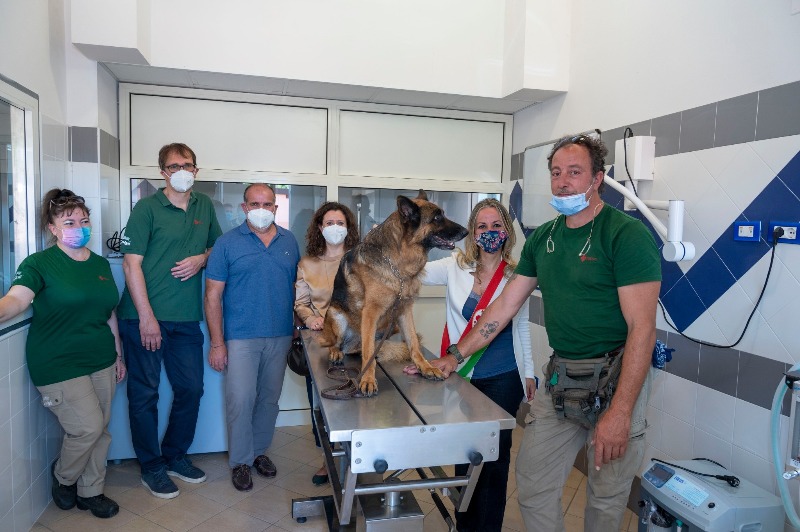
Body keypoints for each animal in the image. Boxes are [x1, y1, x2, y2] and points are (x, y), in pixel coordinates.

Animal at [319, 191, 468, 396]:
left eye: (443, 214)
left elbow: (413, 343)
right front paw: (367, 379)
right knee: (336, 343)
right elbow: (369, 352)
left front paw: (425, 367)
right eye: (437, 218)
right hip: (336, 315)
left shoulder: (404, 310)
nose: (466, 231)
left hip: (390, 326)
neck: (398, 264)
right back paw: (336, 351)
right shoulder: (371, 312)